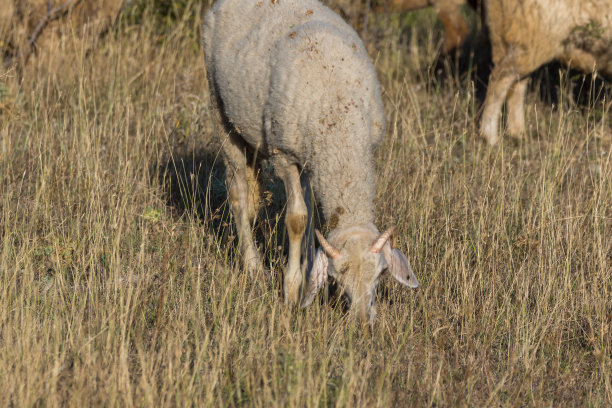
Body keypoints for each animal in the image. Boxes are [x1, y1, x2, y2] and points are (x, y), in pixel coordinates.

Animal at [203, 0, 418, 326]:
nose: (362, 323)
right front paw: (292, 289)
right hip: (222, 111)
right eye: (336, 277)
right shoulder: (284, 156)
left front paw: (306, 276)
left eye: (381, 273)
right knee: (239, 194)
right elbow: (297, 219)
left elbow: (310, 215)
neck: (339, 122)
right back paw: (253, 267)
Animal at [480, 0, 612, 146]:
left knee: (516, 85)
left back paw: (518, 134)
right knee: (500, 78)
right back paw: (490, 137)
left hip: (522, 38)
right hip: (536, 37)